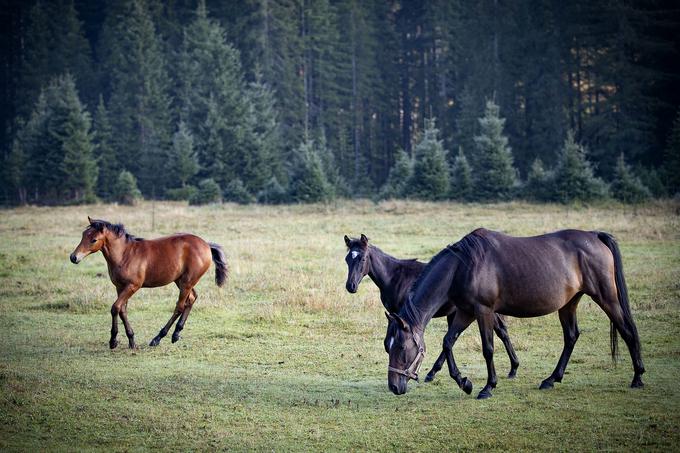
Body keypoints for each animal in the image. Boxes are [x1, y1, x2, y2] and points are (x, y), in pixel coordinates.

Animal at [70, 217, 228, 348]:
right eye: (83, 235)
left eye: (94, 239)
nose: (73, 257)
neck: (125, 254)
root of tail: (206, 245)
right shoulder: (120, 287)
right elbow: (122, 310)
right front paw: (131, 340)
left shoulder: (133, 286)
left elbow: (115, 308)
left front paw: (113, 341)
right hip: (181, 281)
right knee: (192, 298)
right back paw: (176, 334)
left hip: (187, 282)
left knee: (180, 306)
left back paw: (158, 338)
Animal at [346, 233, 520, 382]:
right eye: (347, 259)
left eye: (362, 258)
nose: (350, 286)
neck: (395, 277)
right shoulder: (394, 315)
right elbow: (388, 341)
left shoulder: (401, 316)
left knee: (500, 332)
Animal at [386, 228, 644, 398]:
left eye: (401, 348)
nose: (393, 387)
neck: (463, 265)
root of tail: (595, 235)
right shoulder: (466, 311)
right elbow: (448, 342)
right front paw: (464, 382)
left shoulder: (483, 311)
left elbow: (488, 348)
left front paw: (488, 387)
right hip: (569, 303)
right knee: (571, 336)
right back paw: (551, 379)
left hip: (606, 297)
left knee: (627, 330)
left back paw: (638, 377)